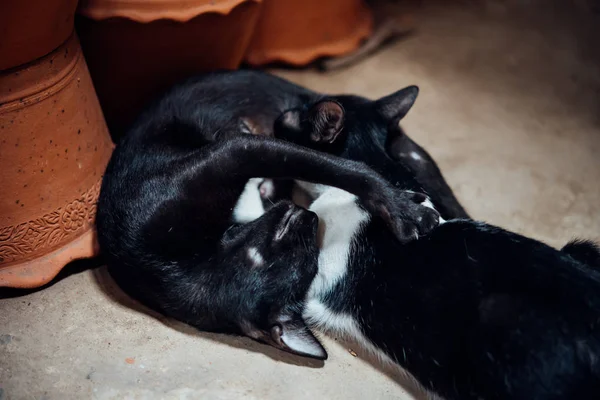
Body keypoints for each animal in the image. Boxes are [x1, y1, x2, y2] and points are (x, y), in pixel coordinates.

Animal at [96, 71, 438, 360]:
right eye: (291, 232)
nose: (305, 213)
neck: (184, 267)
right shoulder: (238, 152)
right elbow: (348, 169)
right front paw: (404, 209)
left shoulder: (240, 151)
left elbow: (342, 167)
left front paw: (402, 206)